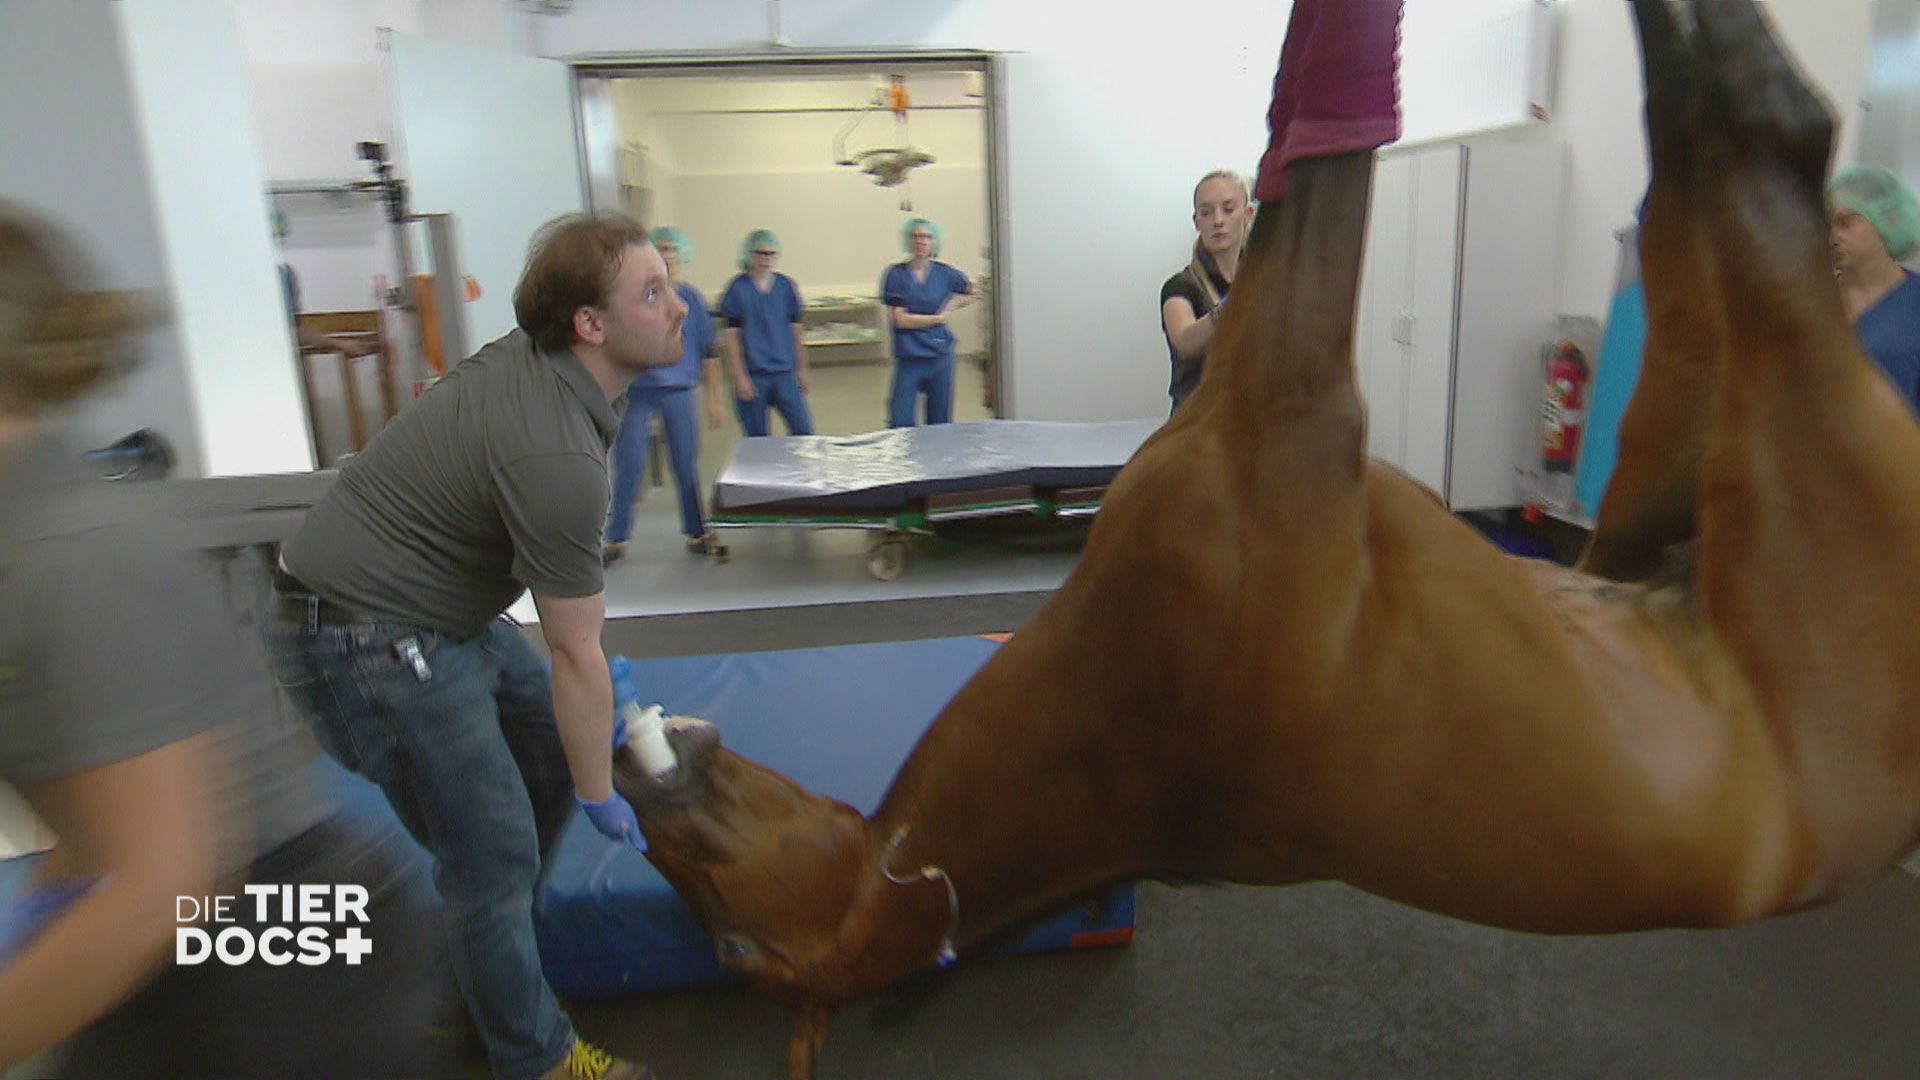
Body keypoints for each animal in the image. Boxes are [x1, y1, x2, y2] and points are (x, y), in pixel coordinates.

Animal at [606, 4, 1920, 1068]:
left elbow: (1304, 114)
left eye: (698, 878)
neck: (1118, 740)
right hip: (1795, 456)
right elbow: (1324, 112)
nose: (627, 760)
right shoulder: (1291, 388)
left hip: (1655, 503)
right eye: (722, 928)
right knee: (1766, 145)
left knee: (1686, 229)